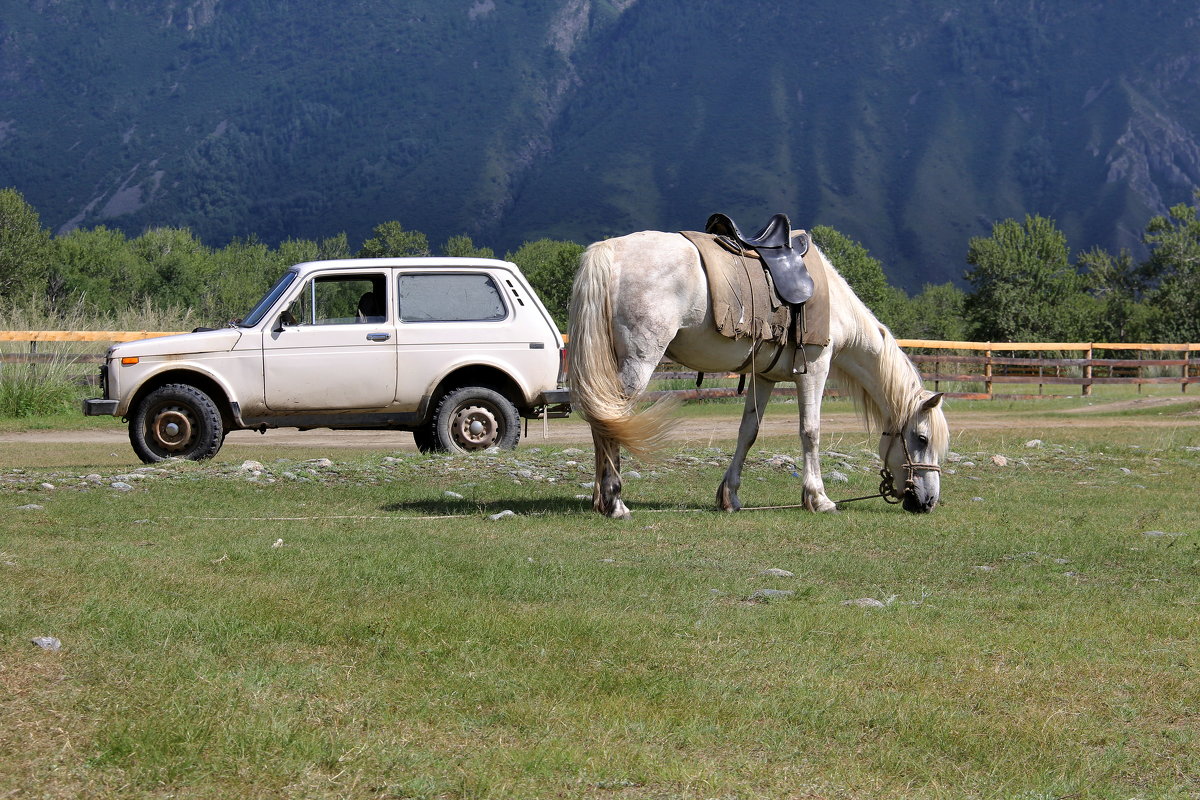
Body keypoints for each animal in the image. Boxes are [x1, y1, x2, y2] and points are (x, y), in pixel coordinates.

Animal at [566, 230, 950, 520]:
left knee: (604, 423)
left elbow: (747, 432)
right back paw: (616, 502)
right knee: (612, 422)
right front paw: (818, 498)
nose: (928, 501)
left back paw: (601, 500)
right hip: (638, 361)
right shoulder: (815, 370)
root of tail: (610, 249)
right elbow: (810, 432)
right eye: (922, 439)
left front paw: (730, 496)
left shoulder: (764, 377)